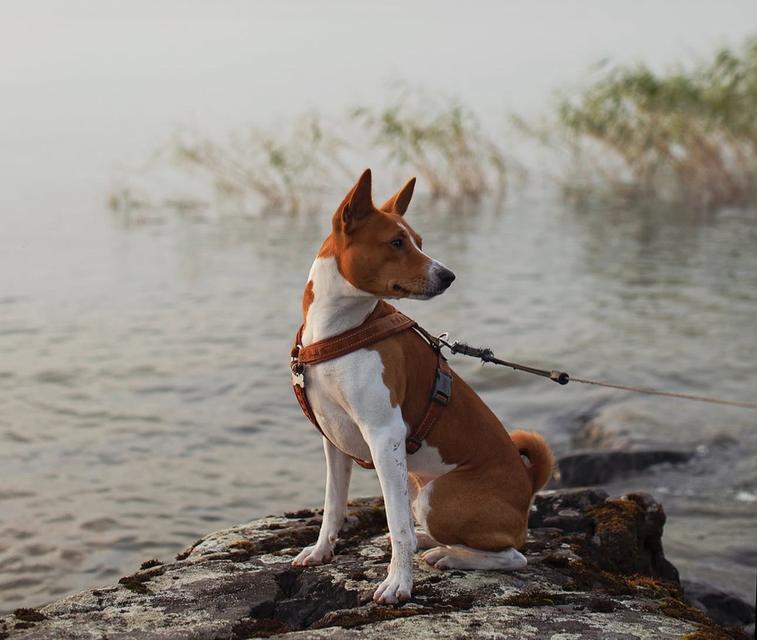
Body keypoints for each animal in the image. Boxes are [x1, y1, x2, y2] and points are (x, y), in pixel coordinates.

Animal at [292, 170, 552, 604]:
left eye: (419, 241)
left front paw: (398, 583)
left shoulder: (384, 436)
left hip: (436, 496)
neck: (339, 330)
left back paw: (449, 554)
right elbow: (333, 506)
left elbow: (396, 526)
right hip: (417, 485)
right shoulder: (334, 437)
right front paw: (320, 551)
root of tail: (528, 483)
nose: (448, 275)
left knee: (514, 554)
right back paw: (433, 541)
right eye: (397, 243)